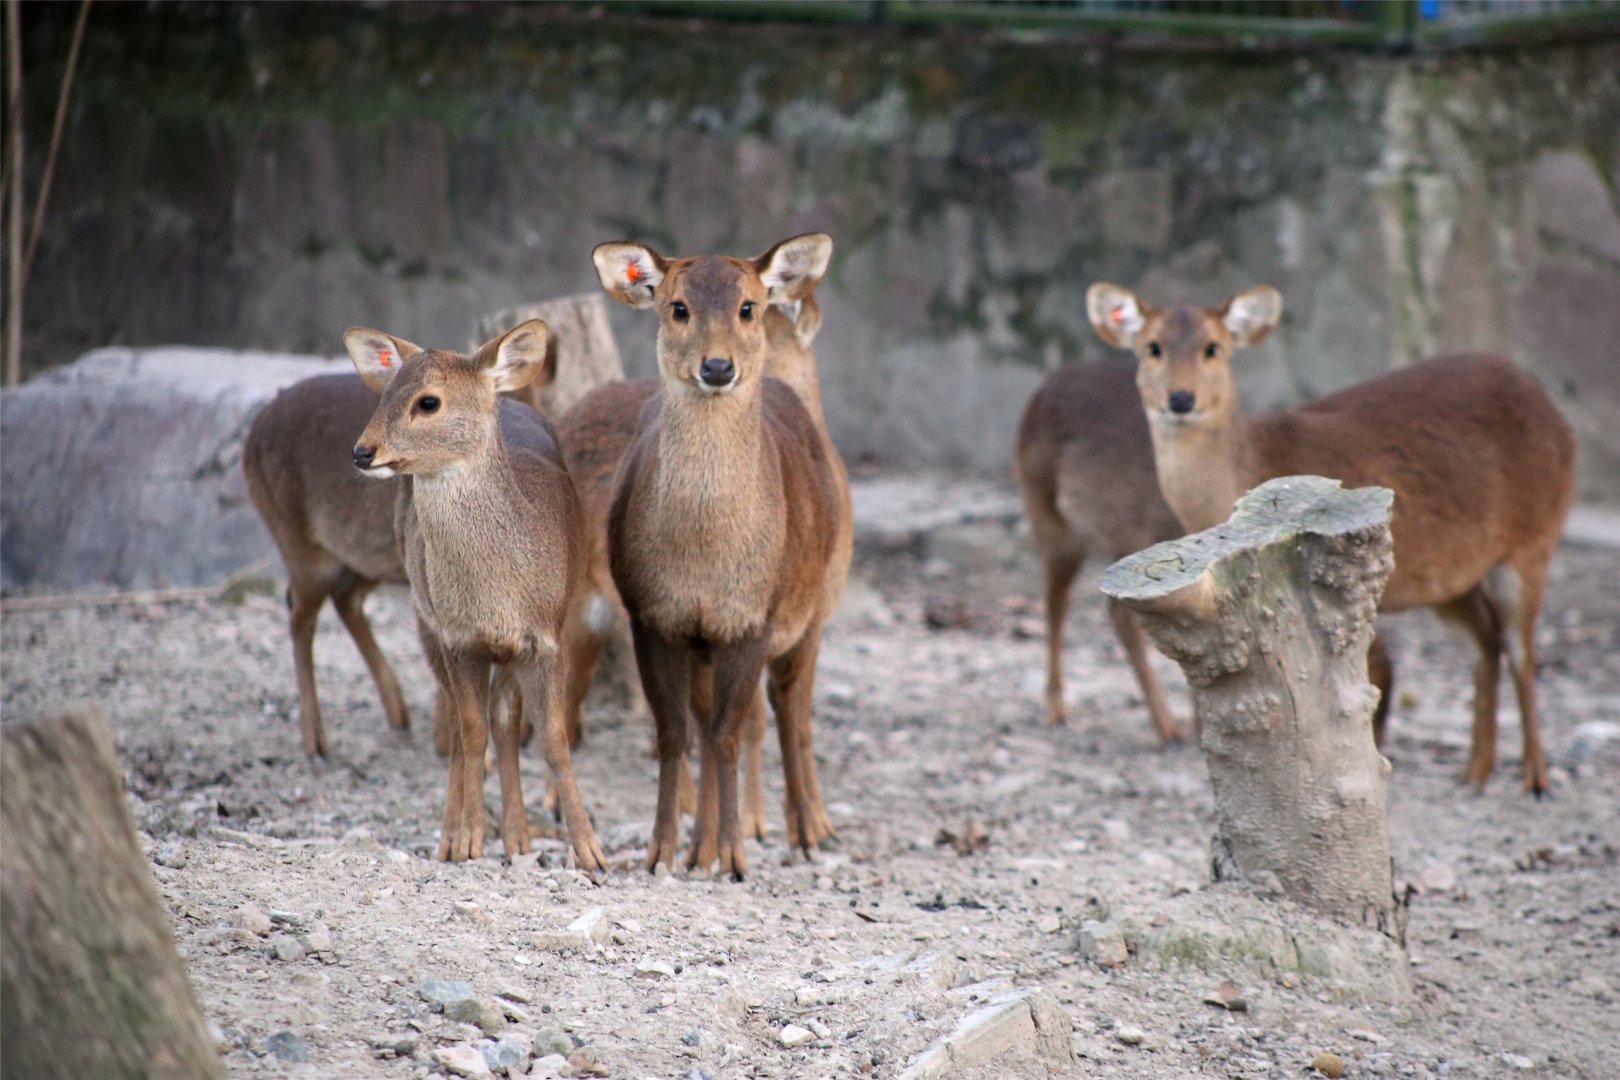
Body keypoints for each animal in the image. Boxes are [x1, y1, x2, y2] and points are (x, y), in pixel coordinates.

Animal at [344, 320, 605, 869]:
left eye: (428, 402)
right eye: (384, 395)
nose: (362, 451)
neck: (497, 595)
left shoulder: (545, 636)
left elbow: (552, 738)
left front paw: (591, 853)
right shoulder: (457, 639)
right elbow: (470, 732)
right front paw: (466, 841)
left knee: (505, 724)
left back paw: (519, 837)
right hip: (424, 618)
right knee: (464, 730)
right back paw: (459, 835)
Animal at [1086, 282, 1575, 793]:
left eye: (1213, 347)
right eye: (1152, 347)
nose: (1181, 399)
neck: (1250, 465)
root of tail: (1549, 405)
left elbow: (1376, 675)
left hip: (1534, 541)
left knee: (1522, 651)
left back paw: (1535, 778)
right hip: (1453, 577)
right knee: (1486, 642)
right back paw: (1475, 772)